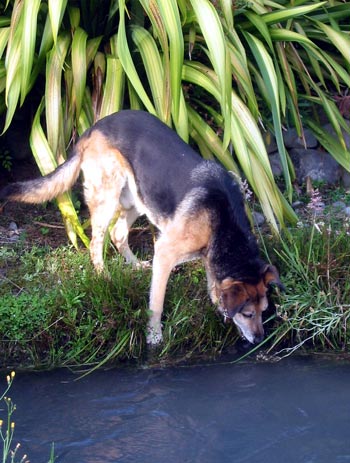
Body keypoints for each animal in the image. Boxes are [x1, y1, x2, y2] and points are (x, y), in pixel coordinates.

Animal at [0, 110, 284, 346]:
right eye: (247, 313)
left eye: (264, 311)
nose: (260, 340)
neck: (223, 222)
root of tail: (92, 129)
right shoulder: (165, 253)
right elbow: (156, 303)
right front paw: (154, 336)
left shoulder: (208, 257)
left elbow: (214, 286)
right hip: (109, 196)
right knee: (96, 244)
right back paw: (104, 277)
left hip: (137, 198)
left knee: (118, 234)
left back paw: (134, 265)